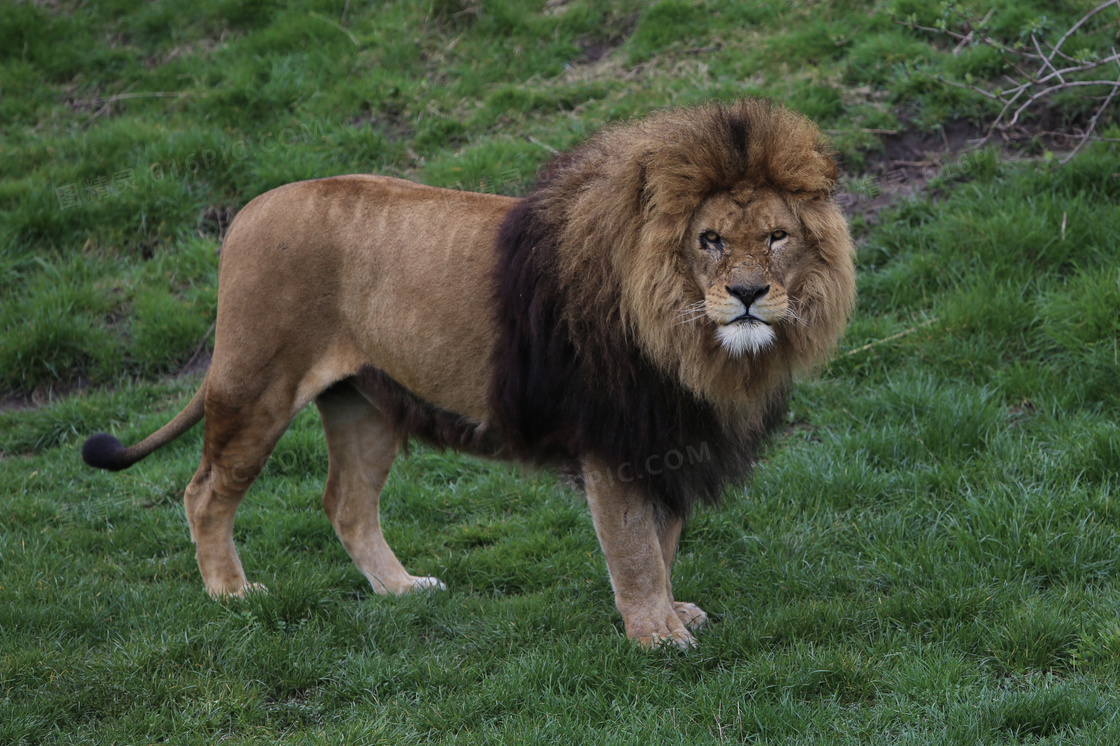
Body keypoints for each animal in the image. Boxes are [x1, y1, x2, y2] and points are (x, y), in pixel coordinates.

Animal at [85, 97, 855, 645]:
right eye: (710, 240)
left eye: (778, 237)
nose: (749, 293)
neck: (694, 345)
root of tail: (247, 209)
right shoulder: (615, 439)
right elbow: (635, 549)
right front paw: (655, 636)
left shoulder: (666, 438)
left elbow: (661, 542)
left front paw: (672, 613)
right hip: (256, 385)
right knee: (204, 493)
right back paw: (232, 596)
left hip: (364, 403)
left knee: (345, 504)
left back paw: (399, 590)